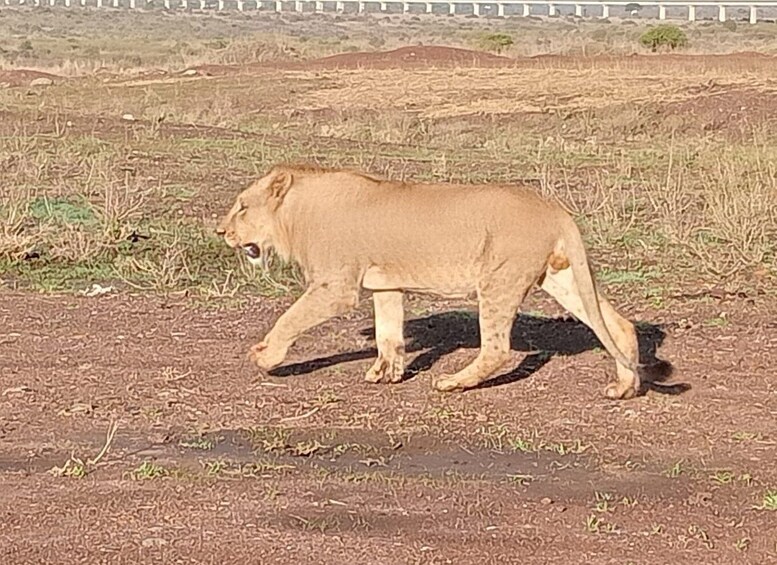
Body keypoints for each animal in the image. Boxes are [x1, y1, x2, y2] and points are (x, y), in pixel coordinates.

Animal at [215, 163, 644, 398]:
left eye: (242, 207)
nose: (221, 232)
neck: (298, 215)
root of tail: (556, 210)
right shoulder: (386, 284)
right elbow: (388, 332)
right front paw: (386, 373)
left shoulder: (336, 287)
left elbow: (290, 317)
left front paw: (265, 355)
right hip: (560, 276)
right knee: (619, 325)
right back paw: (624, 387)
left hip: (499, 279)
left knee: (497, 349)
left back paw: (452, 383)